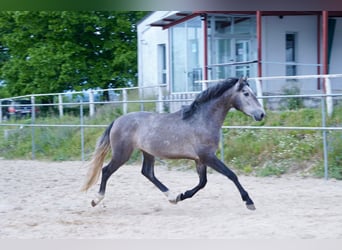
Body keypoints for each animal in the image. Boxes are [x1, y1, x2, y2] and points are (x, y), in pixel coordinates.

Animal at [81, 77, 266, 210]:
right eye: (246, 93)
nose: (261, 114)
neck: (202, 120)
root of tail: (117, 121)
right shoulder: (208, 157)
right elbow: (231, 175)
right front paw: (249, 201)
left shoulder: (200, 160)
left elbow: (202, 183)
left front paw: (181, 196)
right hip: (122, 154)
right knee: (106, 170)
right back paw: (96, 200)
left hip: (147, 153)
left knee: (147, 173)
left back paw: (171, 197)